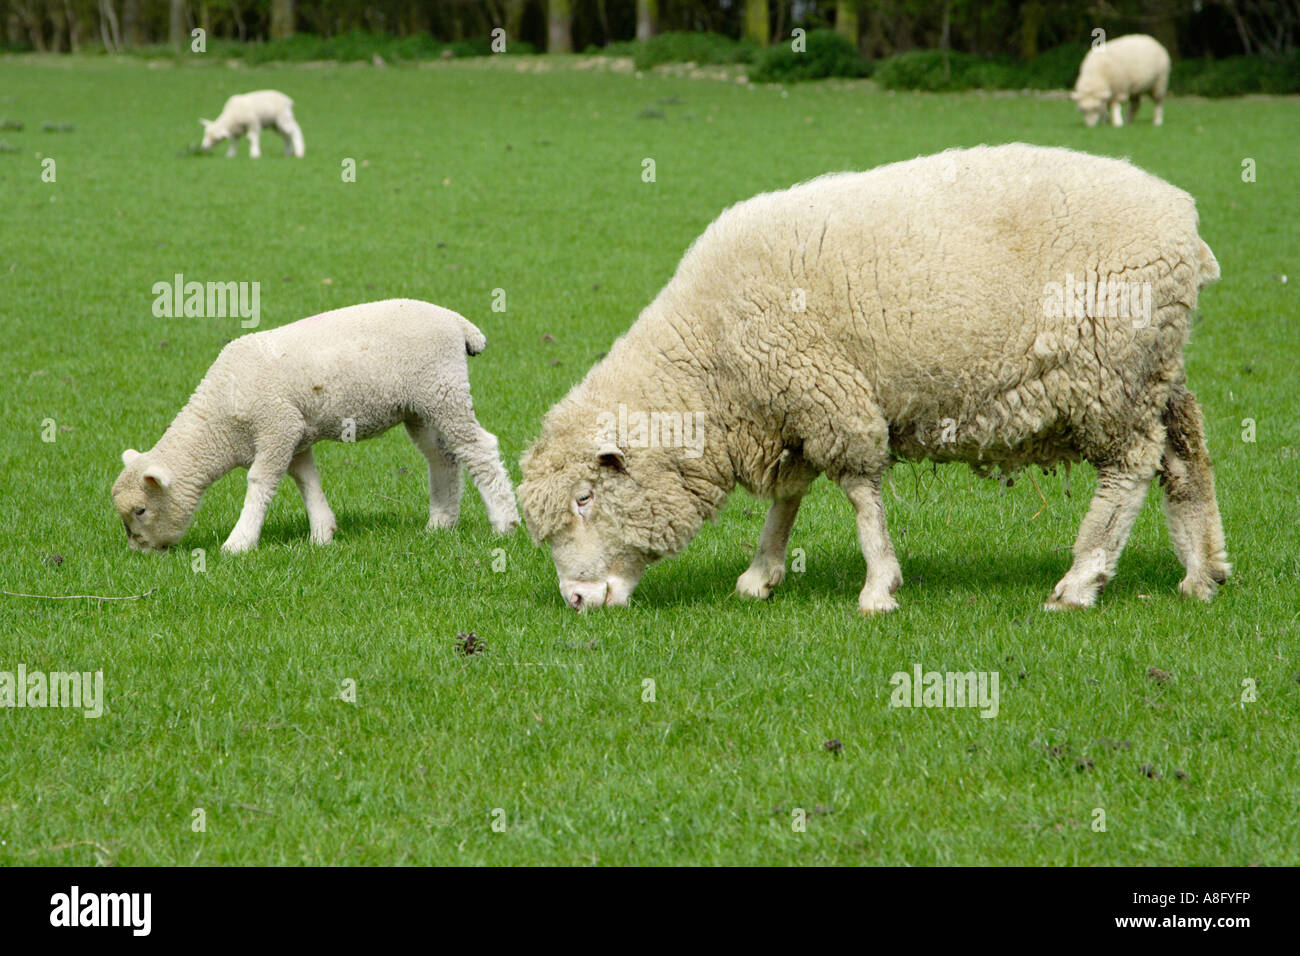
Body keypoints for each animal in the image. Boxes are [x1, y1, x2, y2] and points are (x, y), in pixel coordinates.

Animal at [111, 297, 517, 554]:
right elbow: (307, 481)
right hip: (419, 407)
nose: (139, 552)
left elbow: (260, 482)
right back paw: (440, 523)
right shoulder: (296, 435)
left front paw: (239, 543)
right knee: (442, 457)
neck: (218, 424)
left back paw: (505, 523)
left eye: (141, 510)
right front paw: (322, 533)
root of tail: (457, 322)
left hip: (443, 390)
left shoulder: (277, 426)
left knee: (479, 448)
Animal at [514, 145, 1227, 616]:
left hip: (1110, 372)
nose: (576, 598)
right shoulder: (792, 405)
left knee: (1130, 467)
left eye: (585, 499)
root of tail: (1183, 218)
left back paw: (1081, 581)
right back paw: (1201, 570)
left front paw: (878, 587)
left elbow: (859, 491)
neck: (710, 363)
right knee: (1184, 452)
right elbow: (789, 497)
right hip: (1153, 368)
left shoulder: (828, 392)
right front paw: (761, 573)